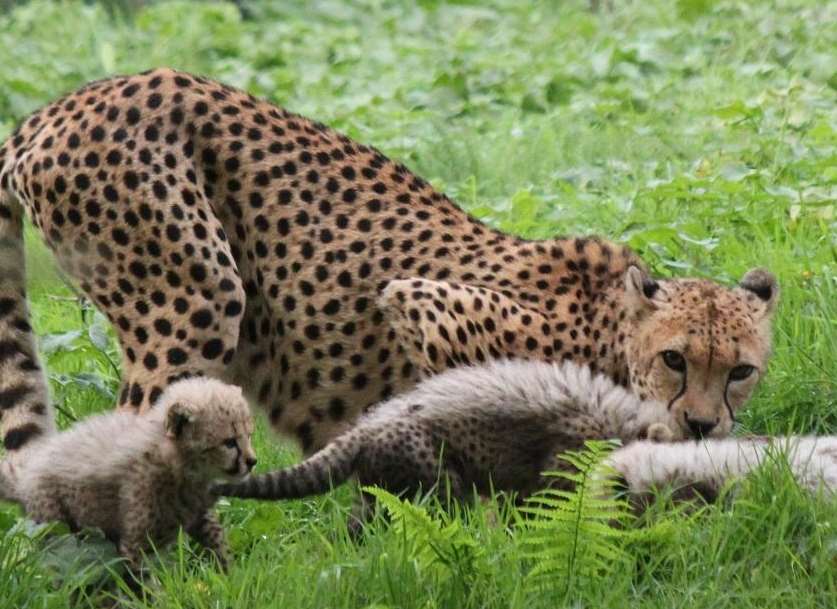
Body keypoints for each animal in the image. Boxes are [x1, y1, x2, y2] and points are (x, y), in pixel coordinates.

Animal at [0, 69, 776, 458]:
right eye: (675, 358)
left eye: (740, 371)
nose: (703, 425)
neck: (612, 336)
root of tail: (58, 107)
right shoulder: (424, 305)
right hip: (198, 297)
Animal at [0, 378, 255, 572]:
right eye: (229, 442)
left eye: (249, 435)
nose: (252, 462)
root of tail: (28, 472)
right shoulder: (134, 541)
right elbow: (143, 582)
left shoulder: (197, 514)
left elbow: (218, 542)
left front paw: (231, 577)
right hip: (57, 527)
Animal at [216, 358, 680, 528]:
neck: (618, 424)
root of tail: (364, 426)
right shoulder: (555, 470)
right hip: (436, 482)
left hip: (381, 489)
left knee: (360, 527)